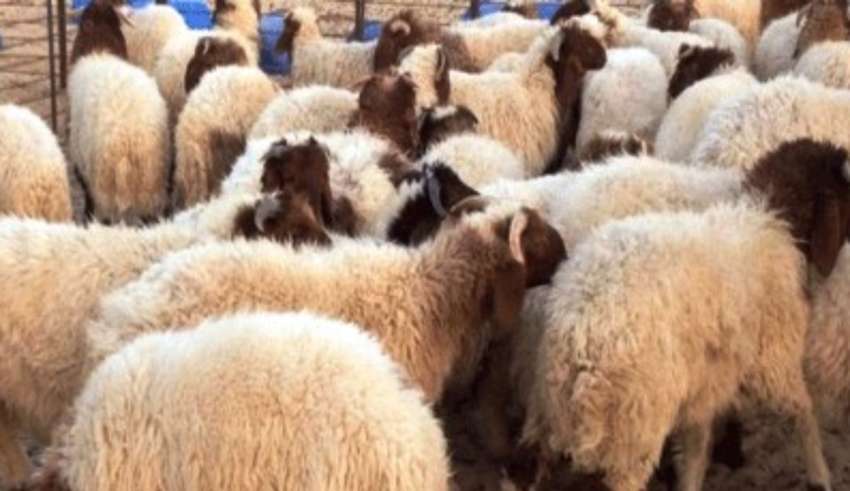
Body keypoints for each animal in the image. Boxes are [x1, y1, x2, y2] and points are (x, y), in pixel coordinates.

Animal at [523, 138, 848, 491]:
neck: (769, 217)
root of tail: (577, 337)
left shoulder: (706, 378)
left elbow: (696, 449)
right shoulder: (773, 359)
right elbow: (802, 413)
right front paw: (820, 474)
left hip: (551, 416)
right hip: (632, 427)